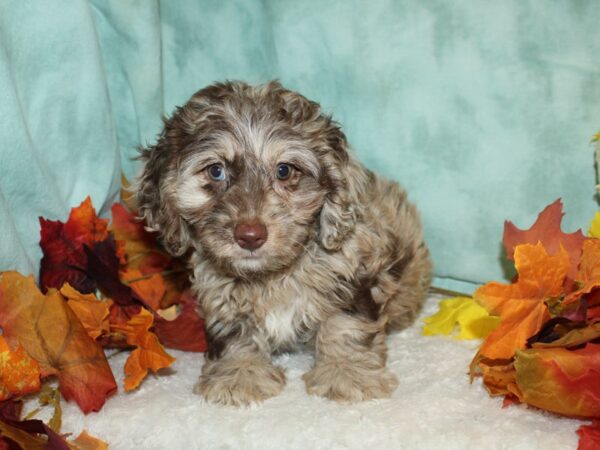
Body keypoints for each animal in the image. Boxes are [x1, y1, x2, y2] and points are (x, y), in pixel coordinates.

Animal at [136, 81, 432, 408]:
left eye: (284, 171)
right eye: (216, 171)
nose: (250, 235)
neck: (272, 275)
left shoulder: (351, 270)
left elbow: (345, 324)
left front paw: (347, 373)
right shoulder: (219, 290)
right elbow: (233, 331)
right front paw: (239, 373)